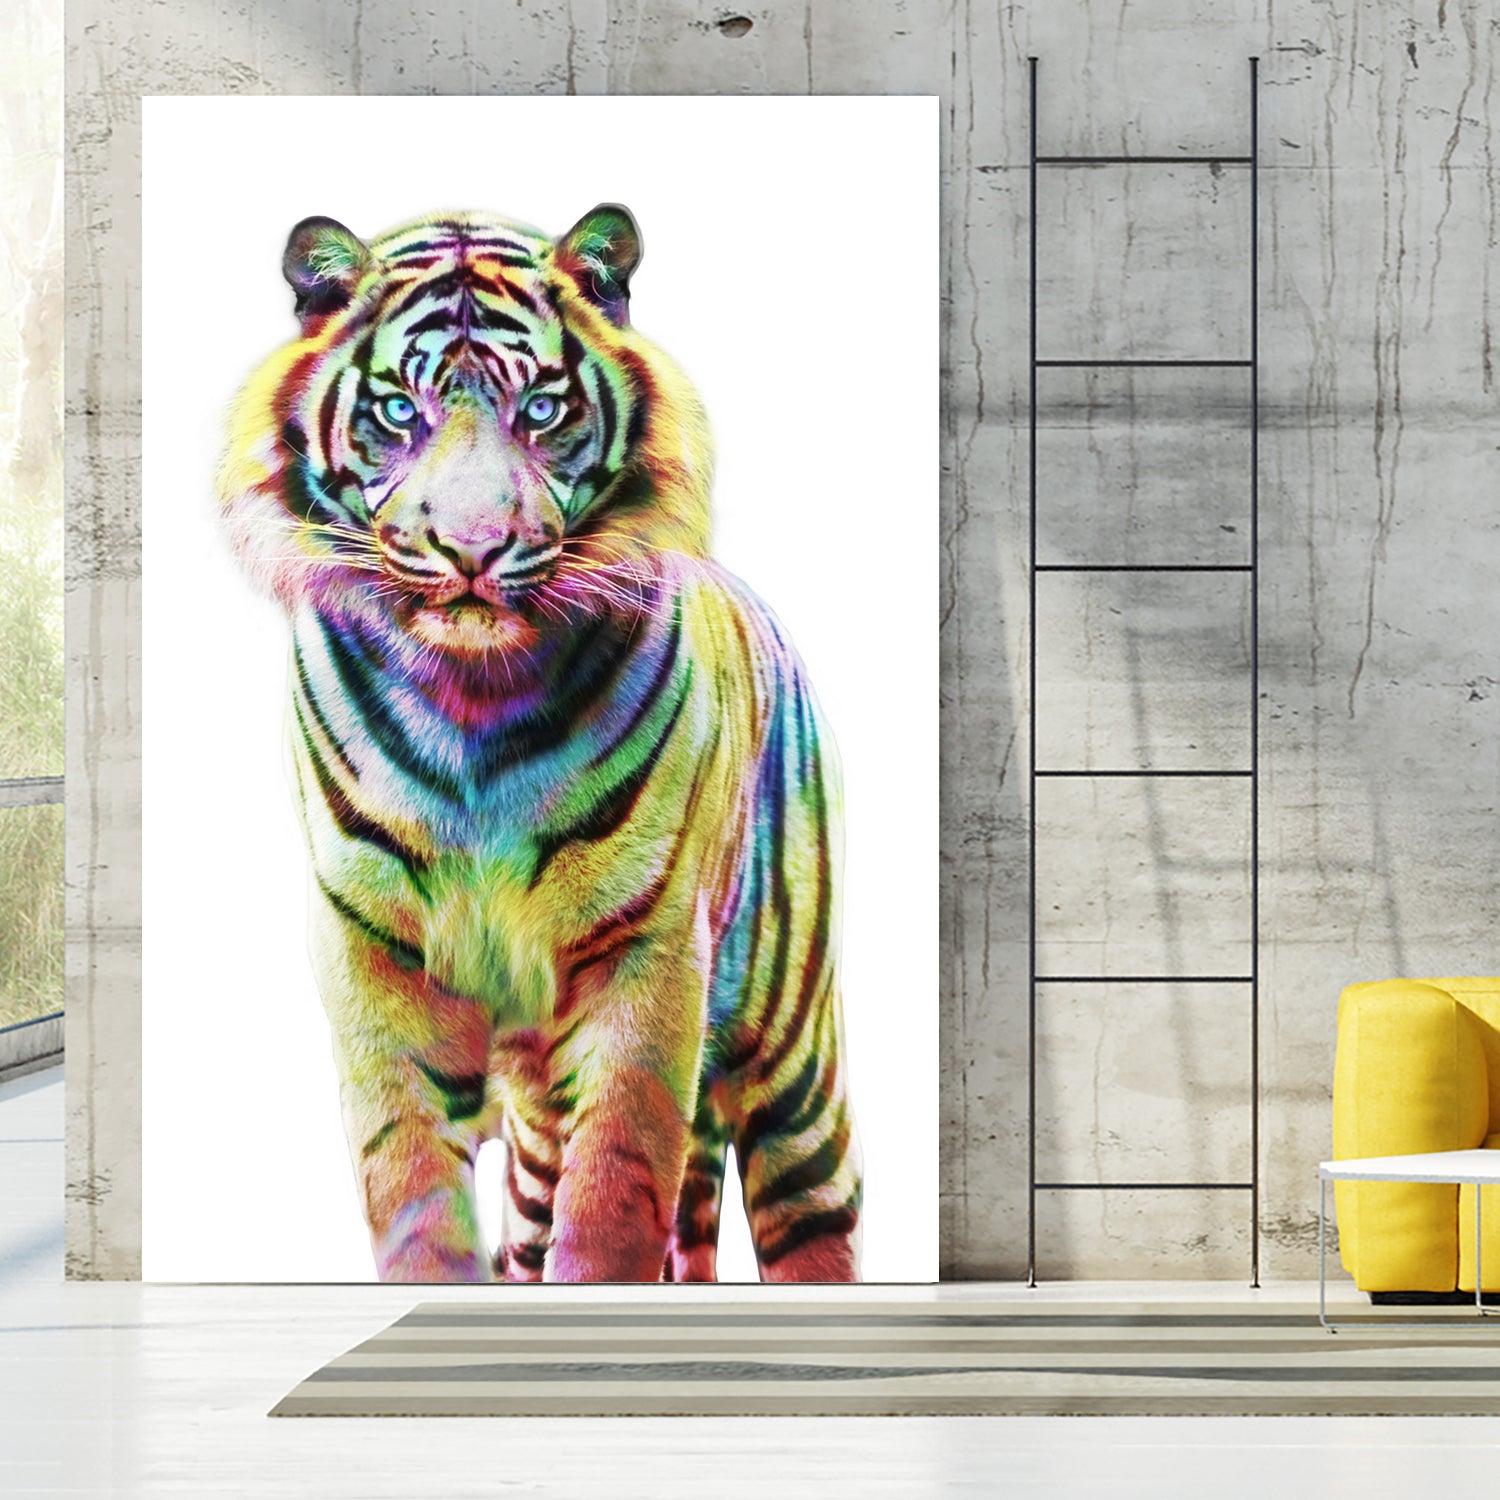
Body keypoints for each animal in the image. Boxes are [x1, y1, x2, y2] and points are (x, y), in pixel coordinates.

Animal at [216, 204, 862, 1282]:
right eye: (399, 411)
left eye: (544, 410)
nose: (473, 548)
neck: (471, 706)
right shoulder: (372, 954)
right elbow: (411, 1189)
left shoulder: (645, 956)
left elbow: (614, 1197)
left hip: (793, 1065)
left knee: (812, 1215)